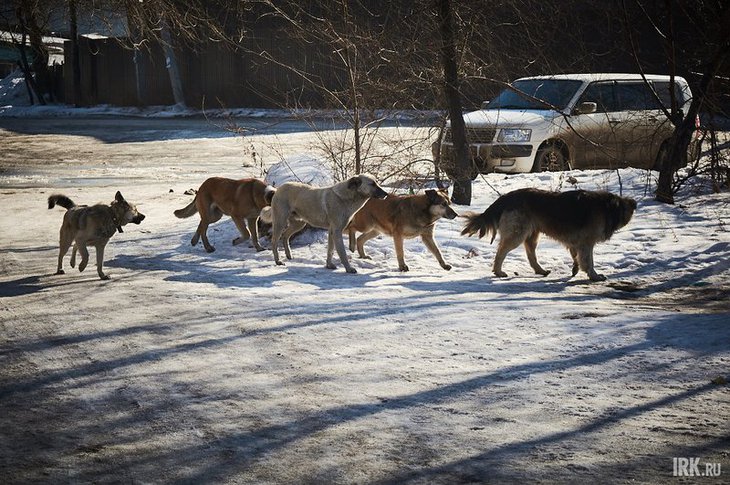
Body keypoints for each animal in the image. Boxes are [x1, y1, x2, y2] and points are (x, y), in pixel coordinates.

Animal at [464, 188, 636, 282]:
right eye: (624, 207)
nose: (634, 203)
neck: (605, 207)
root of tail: (506, 198)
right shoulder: (586, 242)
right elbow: (588, 261)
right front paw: (594, 276)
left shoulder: (577, 242)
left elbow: (576, 256)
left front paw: (575, 268)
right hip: (517, 234)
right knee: (501, 251)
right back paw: (498, 271)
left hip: (532, 235)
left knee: (531, 255)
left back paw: (540, 270)